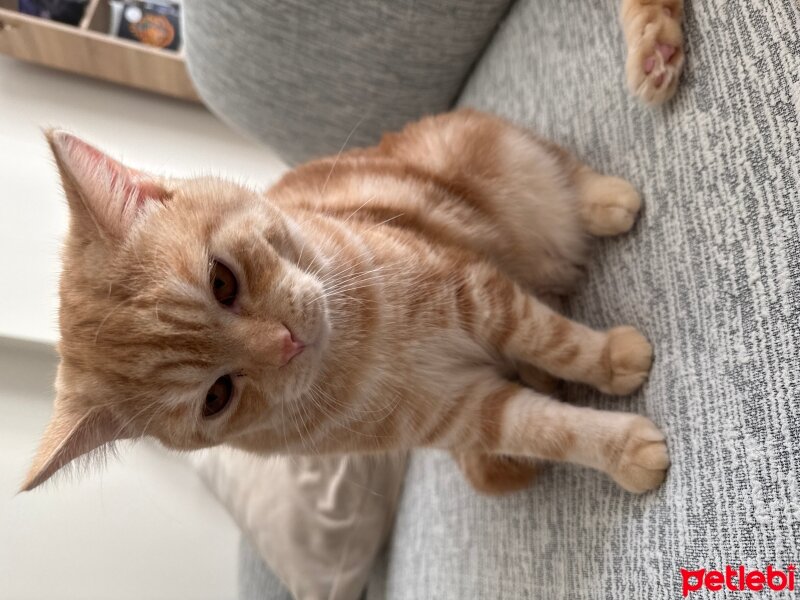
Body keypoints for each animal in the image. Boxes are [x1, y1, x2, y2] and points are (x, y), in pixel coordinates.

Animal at [20, 109, 668, 496]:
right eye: (216, 396)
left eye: (222, 282)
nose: (287, 343)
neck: (361, 356)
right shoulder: (464, 411)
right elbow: (543, 428)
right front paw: (624, 449)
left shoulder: (479, 294)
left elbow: (554, 339)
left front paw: (613, 358)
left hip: (499, 161)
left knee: (558, 167)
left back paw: (607, 199)